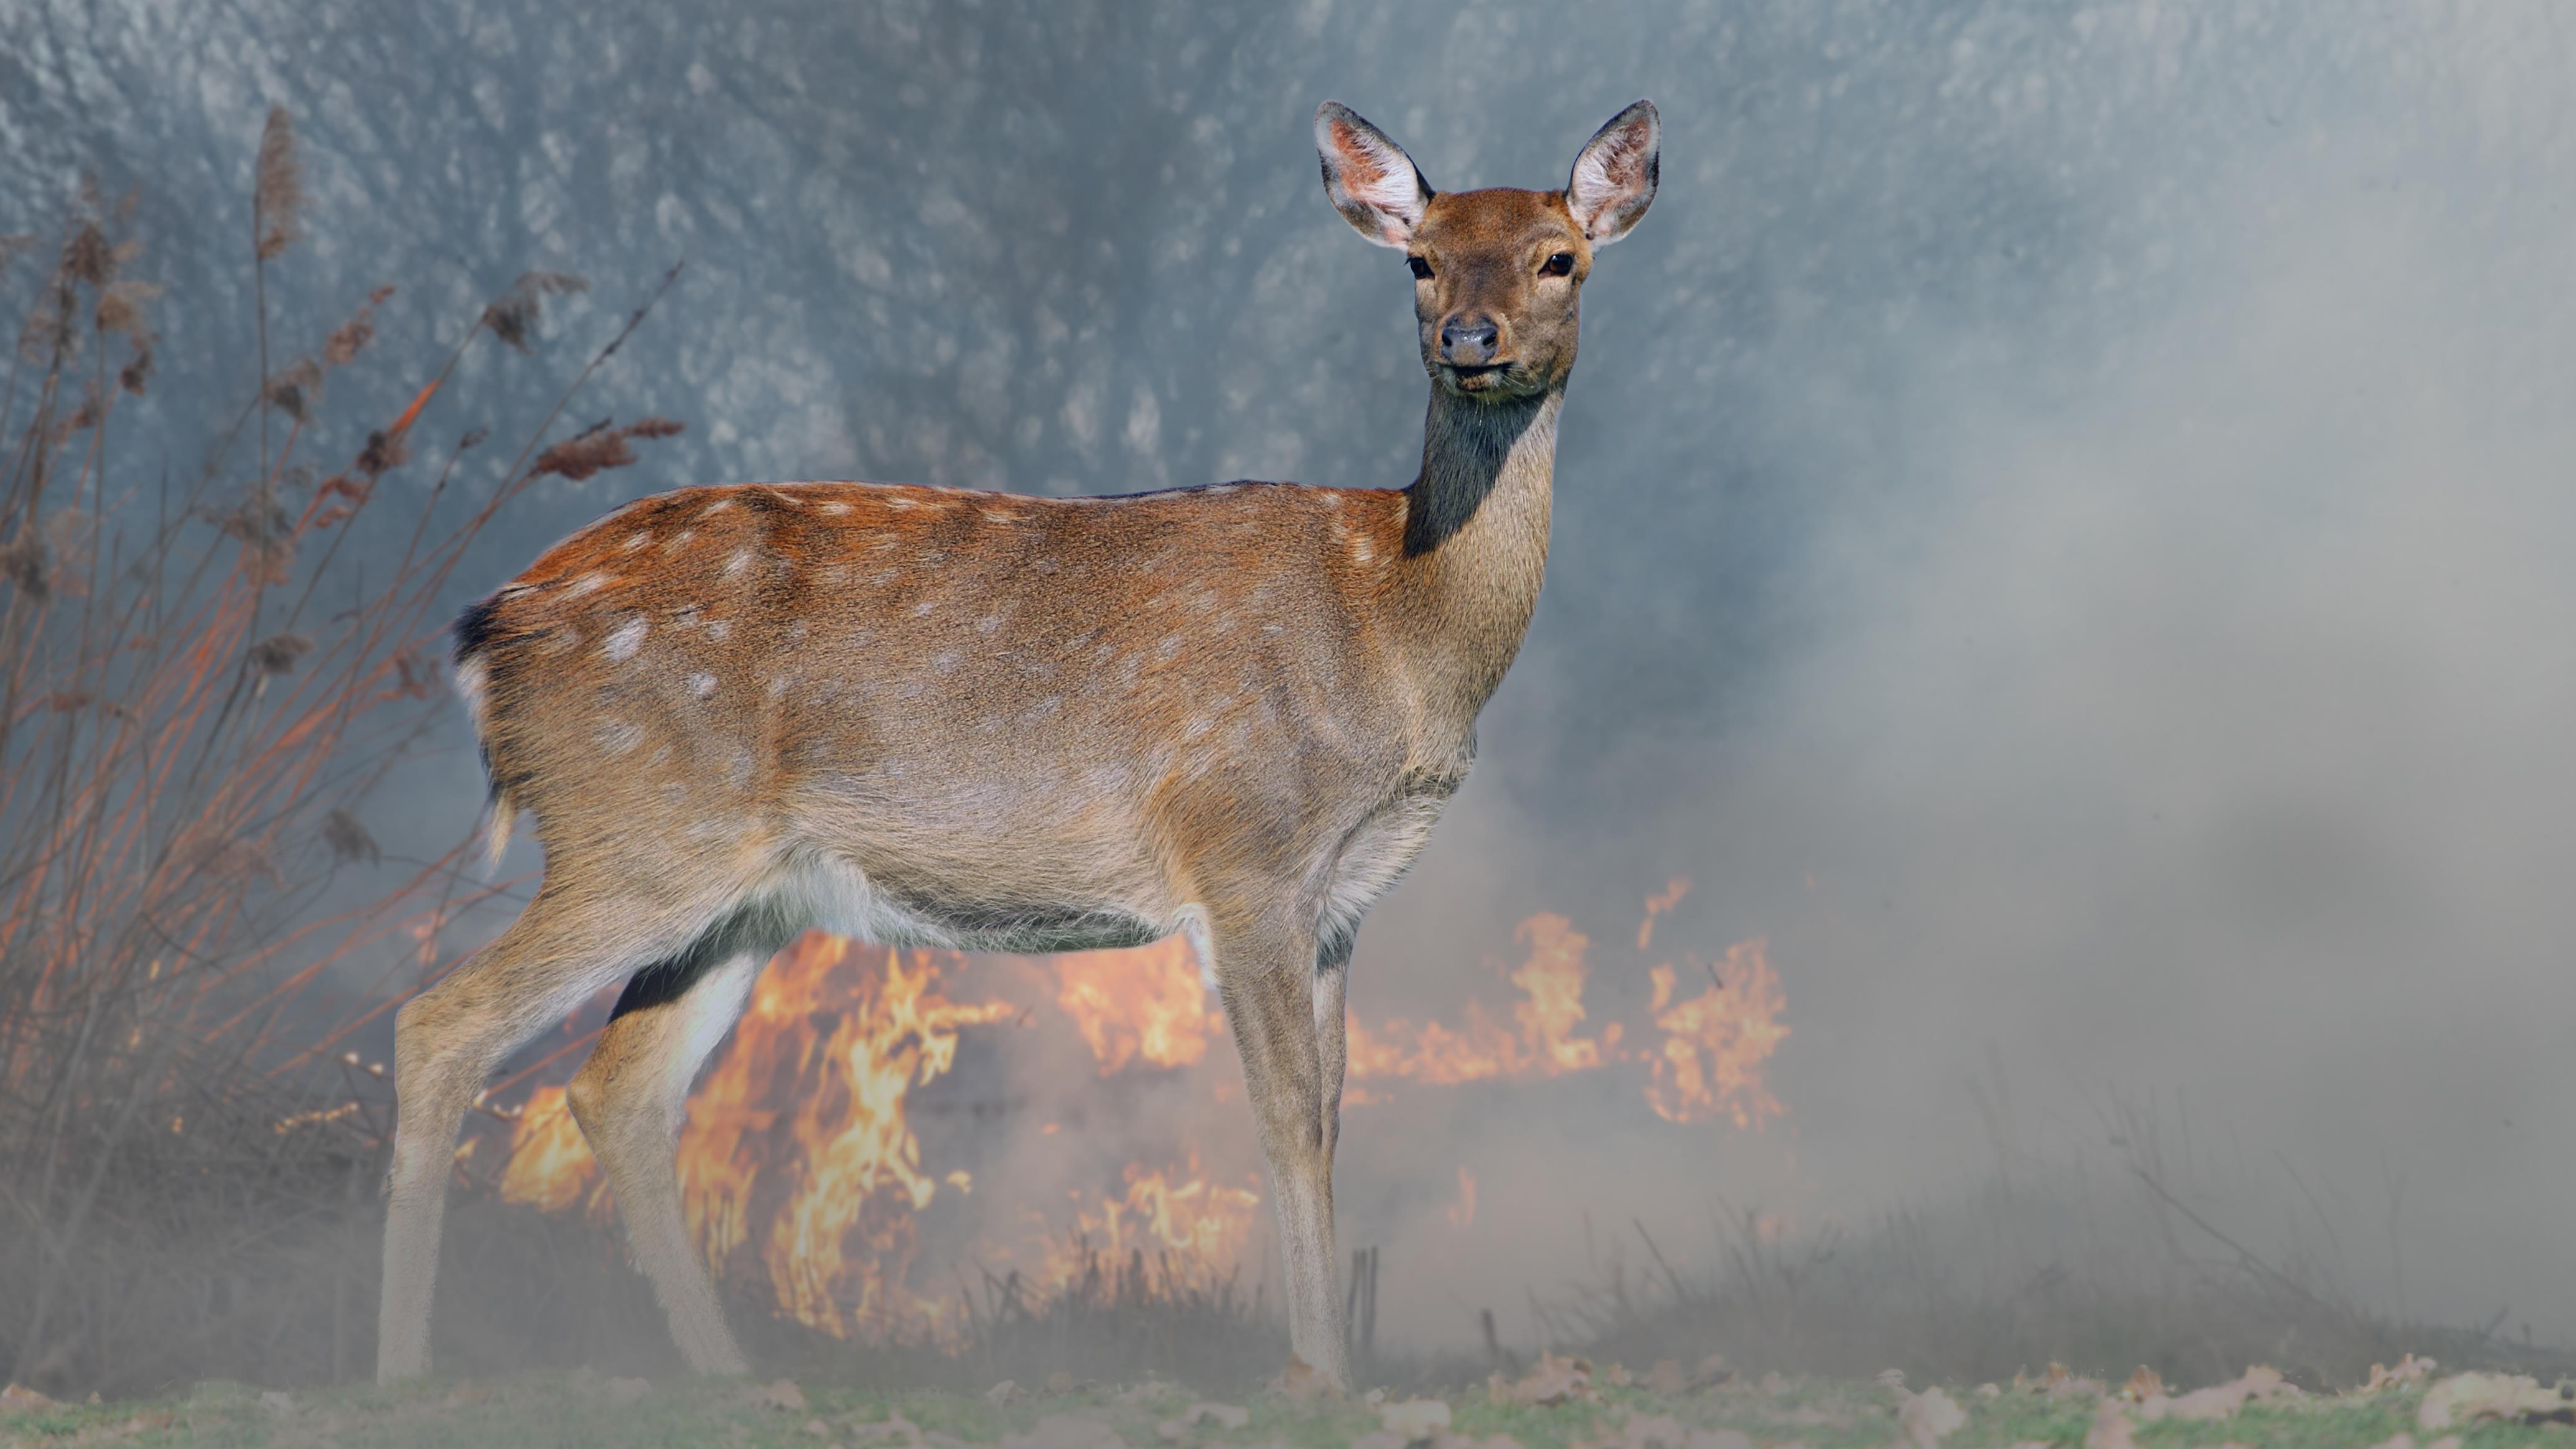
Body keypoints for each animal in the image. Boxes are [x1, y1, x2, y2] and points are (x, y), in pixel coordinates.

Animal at [381, 99, 1669, 1389]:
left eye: (1559, 258)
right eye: (1420, 260)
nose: (1469, 337)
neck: (1398, 624)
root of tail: (490, 632)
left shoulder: (1343, 898)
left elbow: (1338, 1111)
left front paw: (1332, 1359)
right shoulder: (1243, 848)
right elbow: (1288, 1115)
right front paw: (1318, 1372)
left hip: (745, 891)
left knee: (621, 1088)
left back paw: (733, 1373)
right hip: (637, 825)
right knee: (441, 1021)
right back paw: (404, 1365)